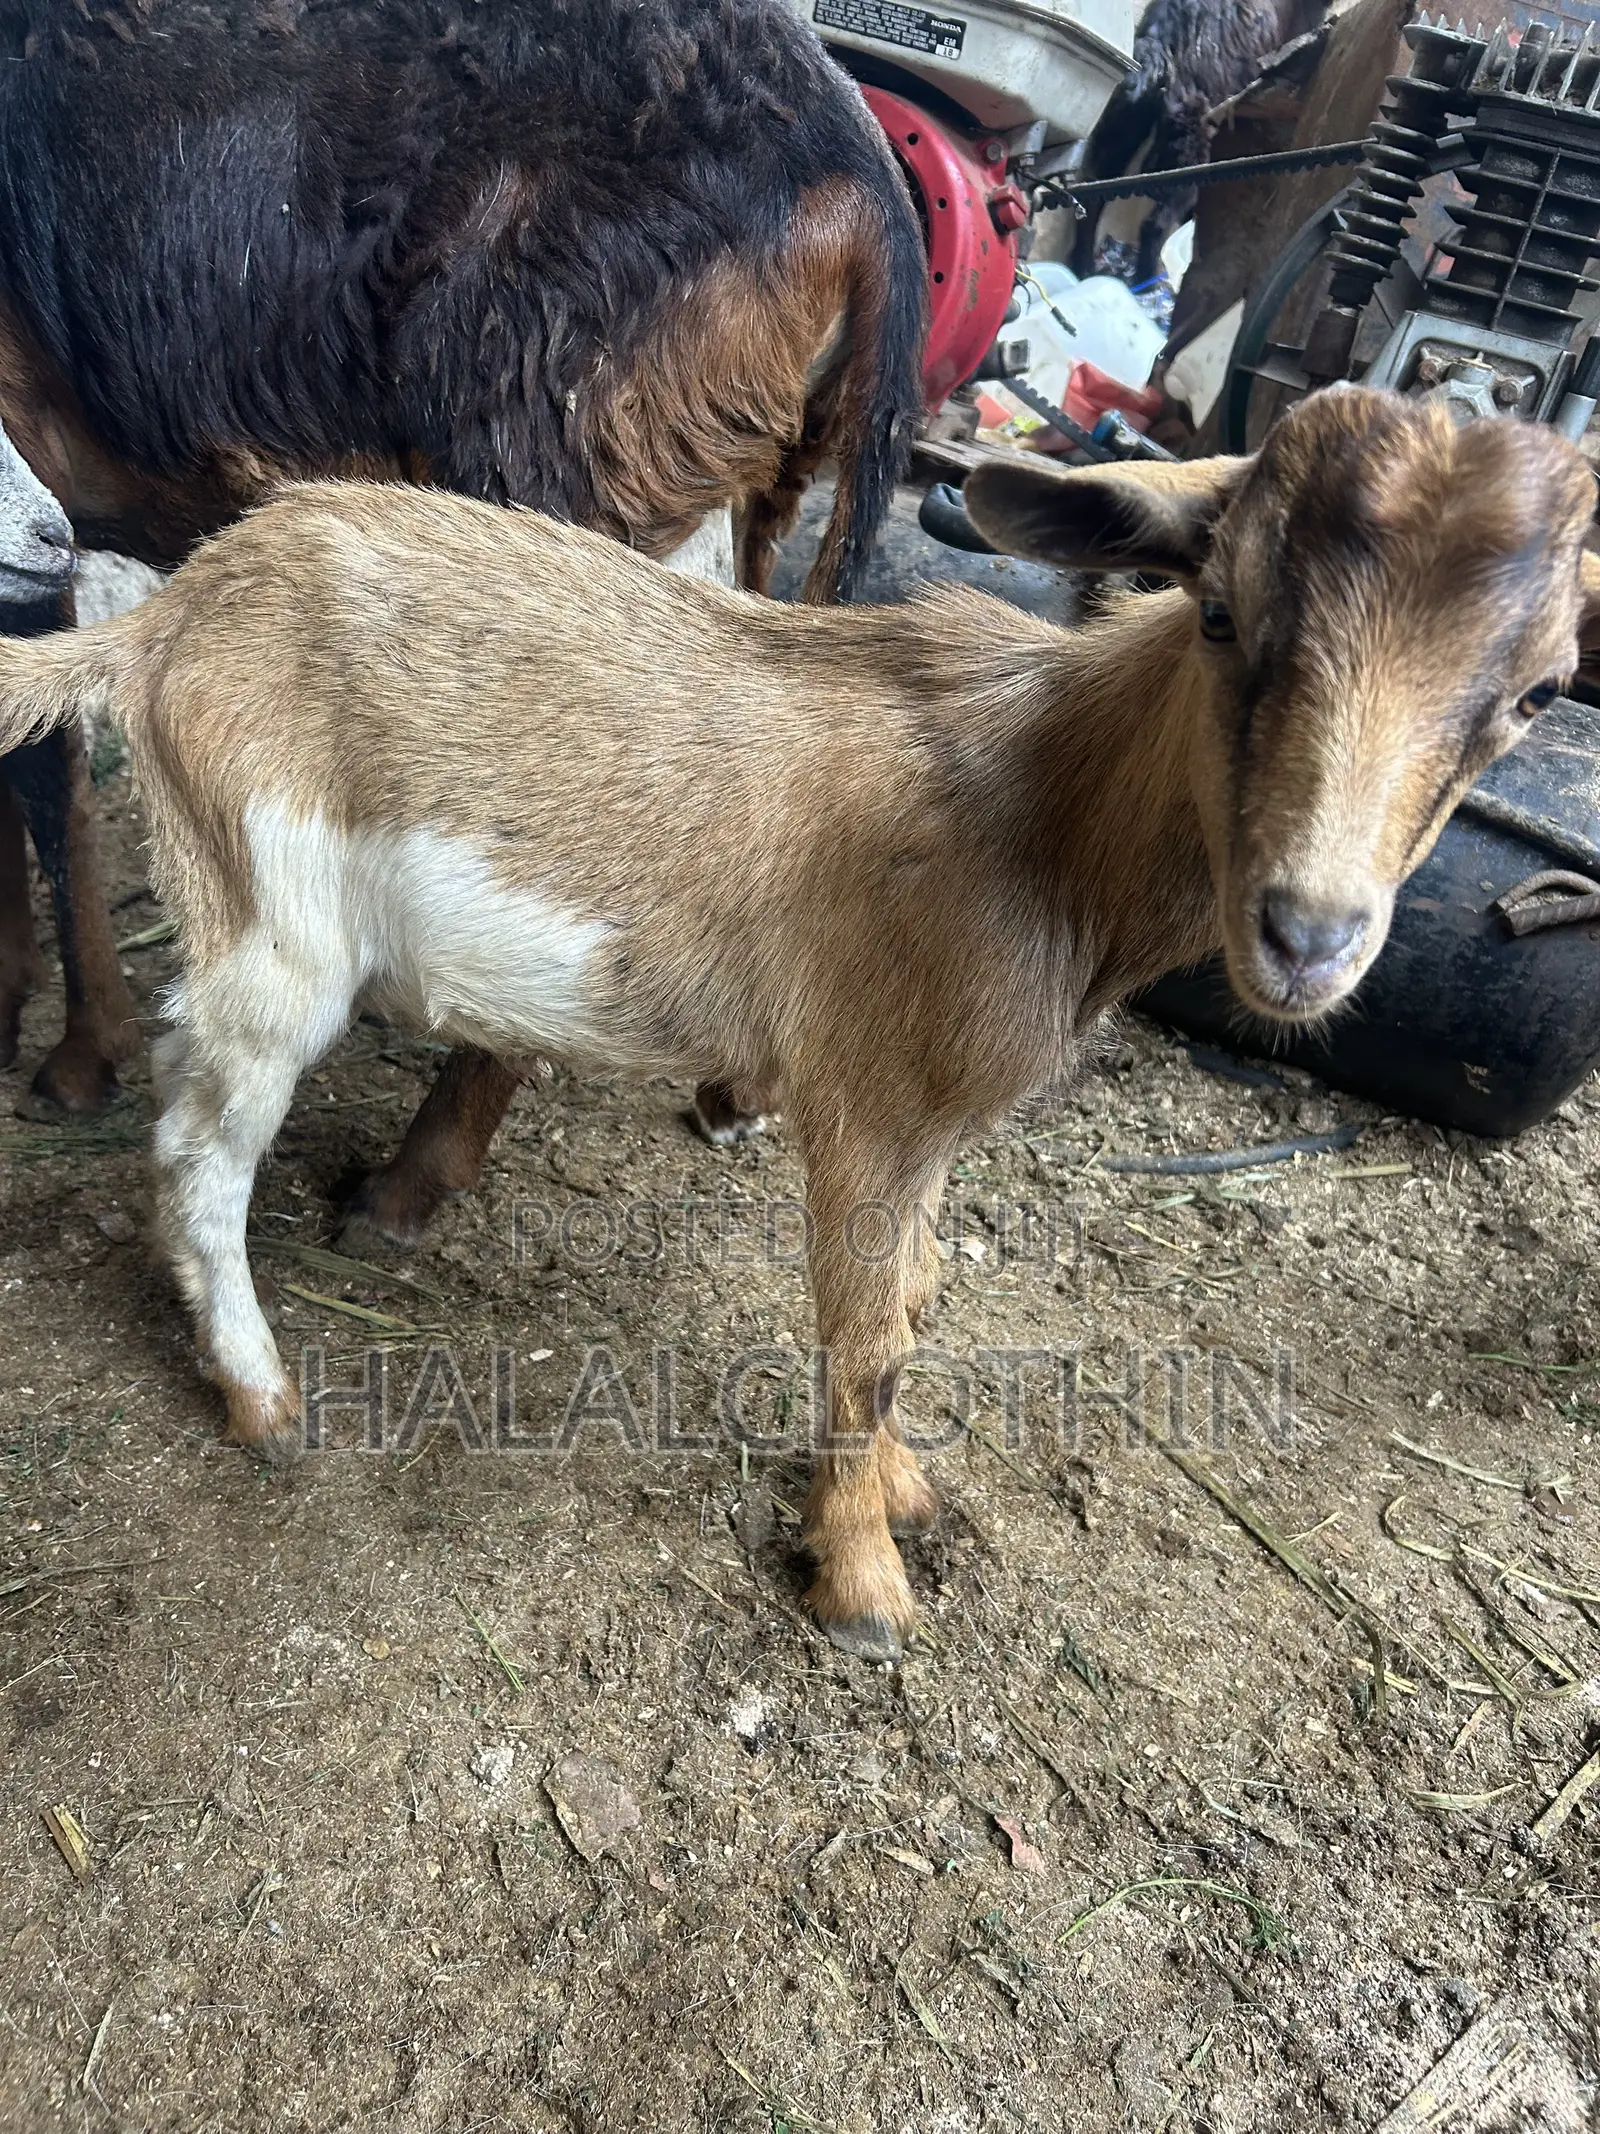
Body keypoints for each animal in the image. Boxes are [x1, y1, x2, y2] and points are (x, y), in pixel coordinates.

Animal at [0, 388, 1590, 1660]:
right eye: (1218, 612)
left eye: (1533, 695)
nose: (1307, 934)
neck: (1043, 815)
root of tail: (165, 617)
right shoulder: (866, 1106)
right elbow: (867, 1336)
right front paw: (864, 1584)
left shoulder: (936, 1120)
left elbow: (914, 1303)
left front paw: (896, 1493)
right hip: (267, 911)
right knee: (200, 1151)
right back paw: (262, 1397)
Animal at [1068, 0, 1327, 287]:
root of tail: (1157, 46)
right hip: (1188, 157)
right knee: (1155, 225)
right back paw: (1146, 282)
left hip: (1119, 133)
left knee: (1091, 200)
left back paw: (1082, 267)